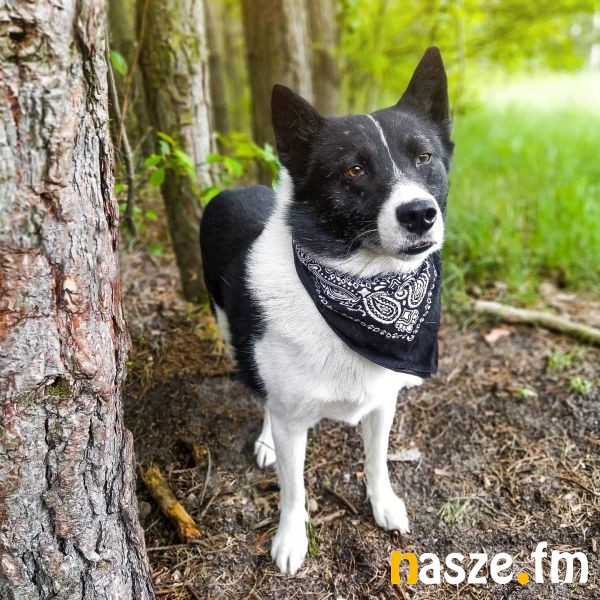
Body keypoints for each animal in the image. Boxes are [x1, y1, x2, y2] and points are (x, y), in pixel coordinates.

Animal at [200, 47, 453, 575]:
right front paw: (292, 538)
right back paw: (265, 439)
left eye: (424, 157)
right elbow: (293, 489)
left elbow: (377, 462)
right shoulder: (292, 418)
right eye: (354, 170)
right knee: (260, 391)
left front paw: (384, 505)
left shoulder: (382, 402)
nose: (420, 214)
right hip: (228, 326)